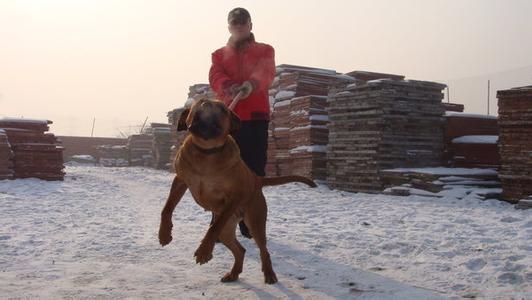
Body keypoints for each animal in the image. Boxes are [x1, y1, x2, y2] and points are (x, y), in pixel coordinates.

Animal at [159, 99, 316, 284]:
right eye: (201, 102)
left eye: (222, 108)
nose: (208, 105)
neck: (206, 152)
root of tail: (256, 179)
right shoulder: (180, 180)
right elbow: (167, 209)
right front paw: (164, 234)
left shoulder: (234, 197)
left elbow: (213, 228)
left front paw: (204, 251)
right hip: (227, 230)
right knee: (240, 250)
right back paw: (233, 273)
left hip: (254, 222)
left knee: (263, 249)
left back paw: (269, 273)